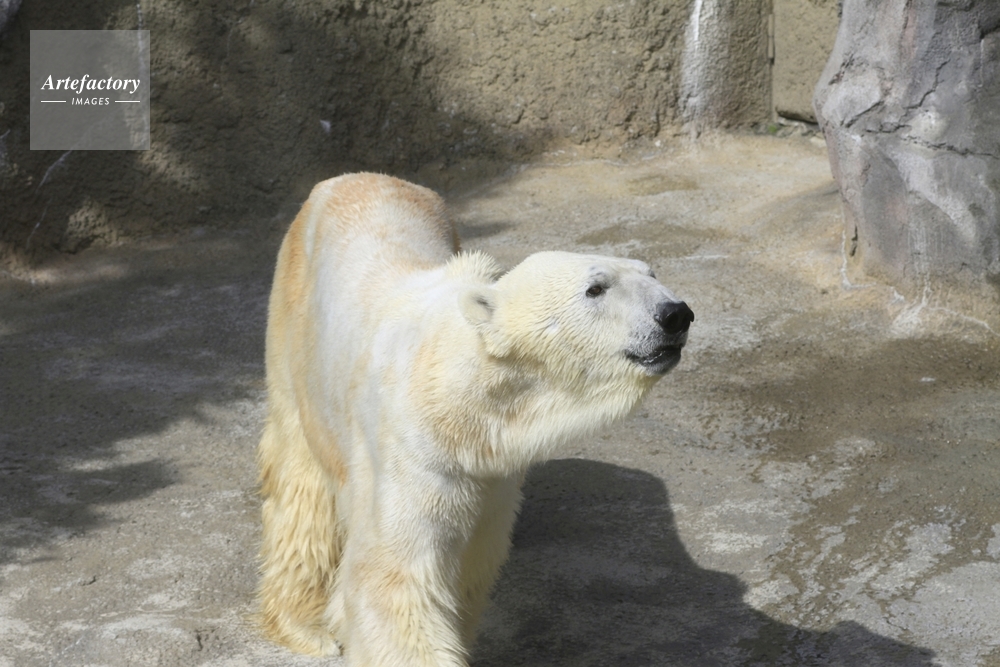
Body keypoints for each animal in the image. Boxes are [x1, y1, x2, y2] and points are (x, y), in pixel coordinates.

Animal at [256, 173, 693, 666]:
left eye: (651, 273)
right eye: (595, 288)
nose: (675, 314)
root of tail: (351, 178)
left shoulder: (492, 470)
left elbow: (470, 565)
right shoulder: (410, 450)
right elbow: (396, 577)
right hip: (295, 327)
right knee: (301, 484)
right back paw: (304, 627)